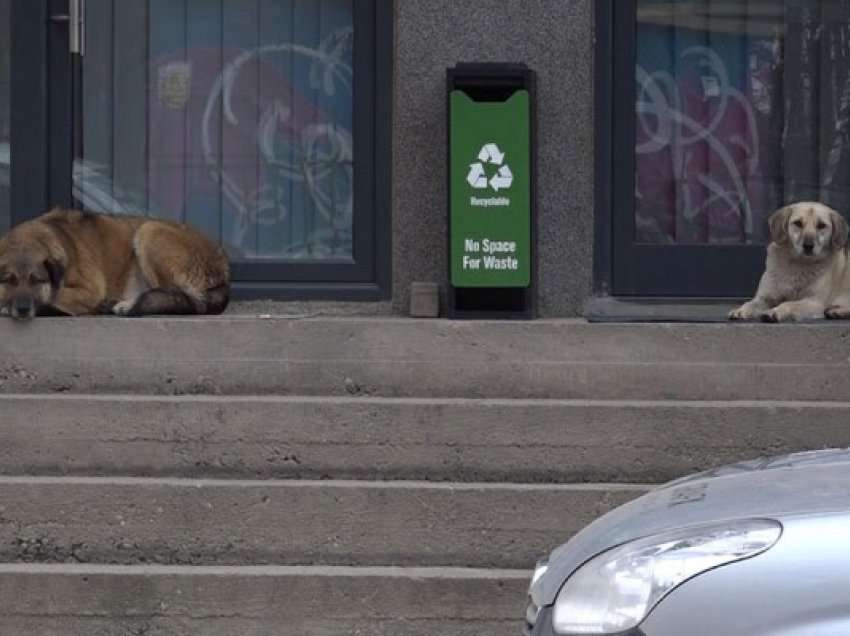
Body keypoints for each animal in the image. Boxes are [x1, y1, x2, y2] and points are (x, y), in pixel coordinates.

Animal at [0, 209, 229, 320]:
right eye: (9, 281)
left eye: (37, 280)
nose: (22, 309)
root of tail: (223, 263)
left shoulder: (89, 290)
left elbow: (52, 295)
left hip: (149, 230)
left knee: (184, 299)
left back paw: (126, 305)